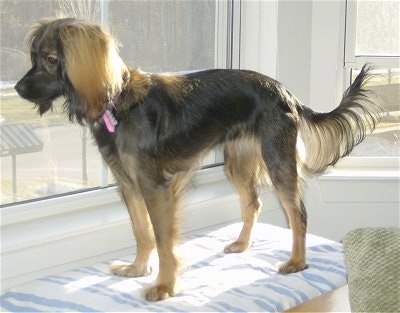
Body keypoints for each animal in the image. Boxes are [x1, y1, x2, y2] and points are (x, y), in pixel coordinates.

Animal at [14, 17, 382, 300]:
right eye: (34, 57)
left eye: (50, 59)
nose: (17, 88)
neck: (119, 104)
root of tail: (284, 91)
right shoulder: (128, 184)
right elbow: (141, 232)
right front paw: (137, 268)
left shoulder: (154, 187)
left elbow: (163, 240)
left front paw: (164, 285)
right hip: (237, 160)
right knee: (253, 204)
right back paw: (242, 244)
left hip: (277, 160)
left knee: (298, 215)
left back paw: (297, 262)